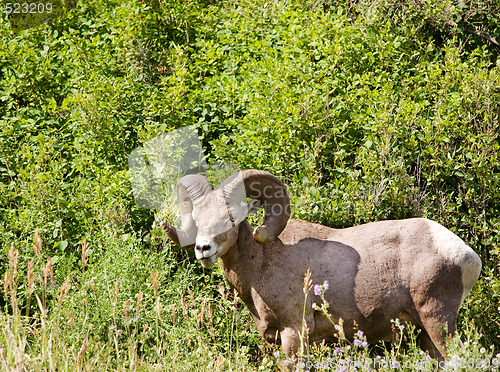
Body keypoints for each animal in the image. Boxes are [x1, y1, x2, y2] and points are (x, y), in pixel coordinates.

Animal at [160, 170, 480, 358]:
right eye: (197, 219)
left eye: (230, 218)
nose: (203, 249)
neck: (262, 264)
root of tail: (466, 255)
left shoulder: (294, 332)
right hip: (426, 334)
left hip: (437, 321)